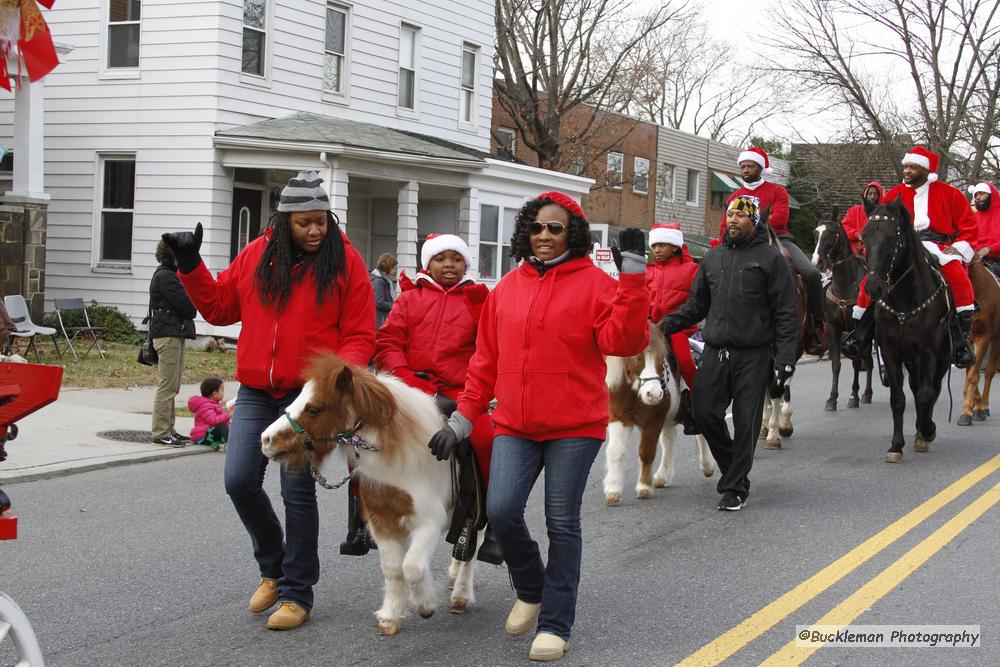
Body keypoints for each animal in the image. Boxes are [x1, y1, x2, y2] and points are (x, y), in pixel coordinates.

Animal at [258, 352, 476, 636]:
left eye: (313, 408)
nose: (266, 440)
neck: (401, 459)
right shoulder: (381, 522)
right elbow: (393, 569)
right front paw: (391, 616)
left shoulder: (428, 522)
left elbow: (412, 567)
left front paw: (425, 604)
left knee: (471, 551)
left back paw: (461, 594)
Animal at [604, 324, 716, 506]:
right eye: (637, 357)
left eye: (662, 356)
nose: (654, 394)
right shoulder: (618, 418)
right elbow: (615, 451)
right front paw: (613, 490)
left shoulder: (653, 421)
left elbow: (646, 452)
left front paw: (644, 487)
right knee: (669, 439)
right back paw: (662, 476)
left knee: (700, 433)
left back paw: (707, 465)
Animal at [812, 217, 876, 410]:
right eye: (816, 233)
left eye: (832, 234)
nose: (817, 261)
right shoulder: (834, 329)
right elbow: (836, 364)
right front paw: (832, 399)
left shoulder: (858, 329)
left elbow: (856, 363)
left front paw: (854, 396)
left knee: (868, 360)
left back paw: (866, 393)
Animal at [860, 197, 952, 460]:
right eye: (864, 236)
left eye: (892, 237)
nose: (873, 287)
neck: (904, 303)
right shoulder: (891, 352)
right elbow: (898, 398)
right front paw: (896, 445)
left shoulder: (927, 353)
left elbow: (926, 394)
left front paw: (926, 430)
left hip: (942, 358)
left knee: (933, 389)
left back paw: (924, 430)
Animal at [956, 258, 1000, 426]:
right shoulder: (966, 339)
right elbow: (970, 372)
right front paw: (973, 405)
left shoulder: (984, 337)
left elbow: (974, 375)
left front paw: (970, 412)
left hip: (996, 339)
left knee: (989, 372)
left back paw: (985, 406)